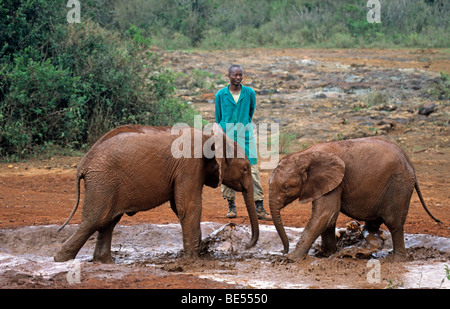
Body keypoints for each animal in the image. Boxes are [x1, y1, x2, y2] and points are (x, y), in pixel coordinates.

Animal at [54, 124, 258, 262]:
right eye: (245, 169)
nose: (246, 245)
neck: (211, 138)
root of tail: (83, 163)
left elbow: (179, 206)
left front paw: (198, 253)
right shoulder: (190, 165)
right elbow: (188, 207)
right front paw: (194, 260)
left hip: (107, 183)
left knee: (108, 221)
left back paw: (104, 261)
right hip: (103, 181)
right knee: (95, 220)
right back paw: (61, 259)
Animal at [268, 137, 442, 260]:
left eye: (286, 187)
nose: (282, 251)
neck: (305, 154)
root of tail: (411, 165)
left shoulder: (336, 181)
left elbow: (326, 213)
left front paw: (290, 259)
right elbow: (329, 218)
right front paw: (326, 254)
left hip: (399, 185)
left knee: (394, 224)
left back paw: (397, 260)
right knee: (372, 225)